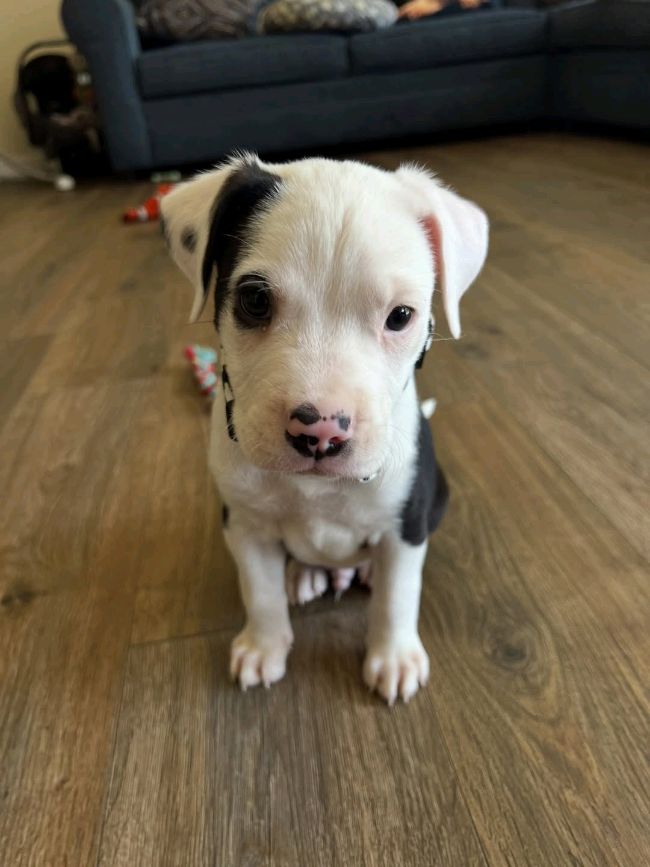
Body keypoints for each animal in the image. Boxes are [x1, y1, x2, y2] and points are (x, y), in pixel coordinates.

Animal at [161, 154, 488, 704]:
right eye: (254, 300)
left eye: (401, 315)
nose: (320, 433)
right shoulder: (244, 525)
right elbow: (260, 592)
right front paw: (263, 646)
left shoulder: (405, 523)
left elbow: (398, 598)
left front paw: (393, 657)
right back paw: (305, 575)